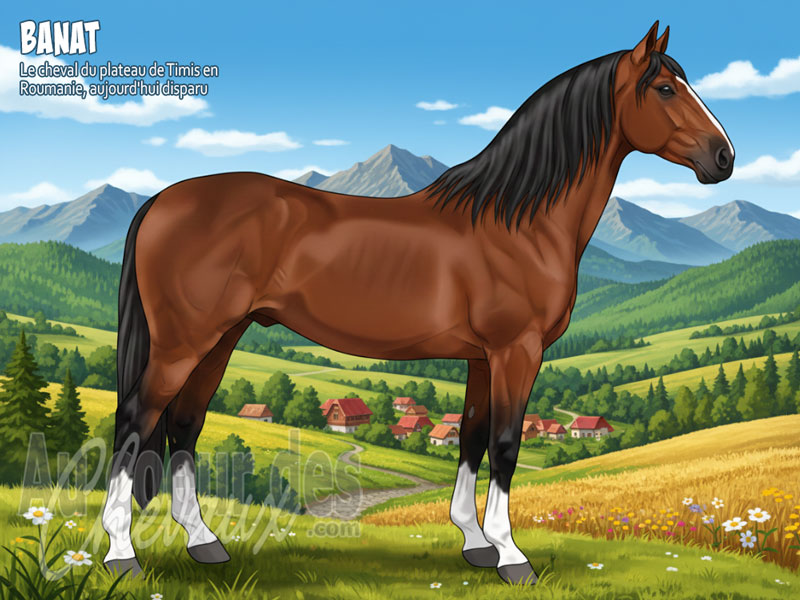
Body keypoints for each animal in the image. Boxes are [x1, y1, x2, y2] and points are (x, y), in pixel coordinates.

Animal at [101, 21, 733, 584]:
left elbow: (472, 439)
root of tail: (160, 201)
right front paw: (511, 556)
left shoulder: (483, 357)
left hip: (221, 337)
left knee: (185, 425)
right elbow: (506, 445)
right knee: (136, 420)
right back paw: (121, 554)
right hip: (183, 342)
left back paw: (204, 543)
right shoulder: (517, 350)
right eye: (666, 88)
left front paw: (474, 544)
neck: (517, 222)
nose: (723, 157)